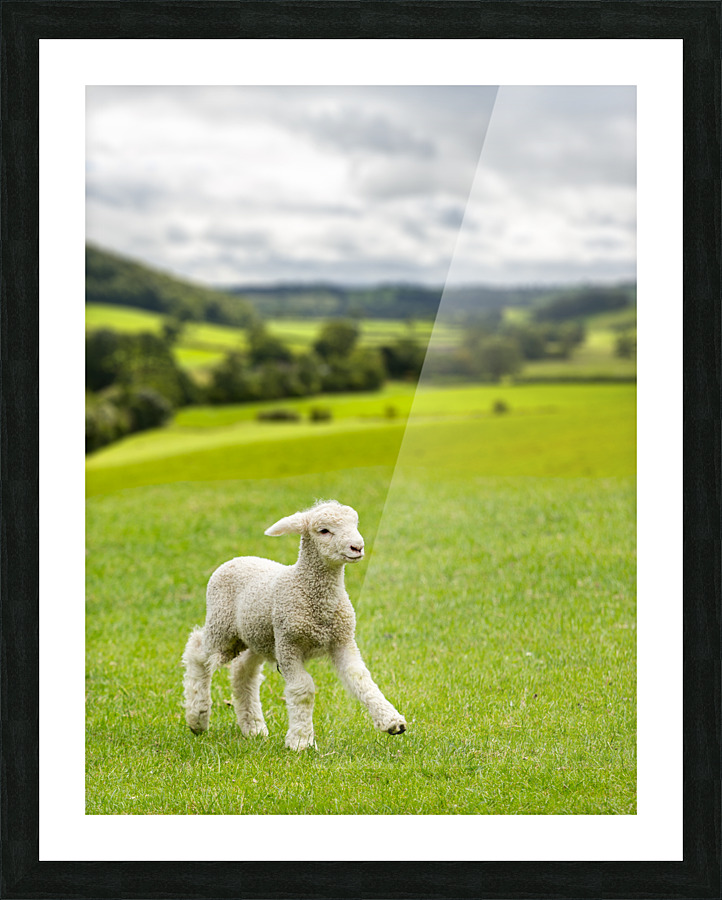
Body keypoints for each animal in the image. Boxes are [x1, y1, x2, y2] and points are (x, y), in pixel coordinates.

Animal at [182, 500, 406, 750]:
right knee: (197, 652)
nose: (357, 547)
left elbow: (361, 678)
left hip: (258, 637)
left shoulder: (342, 640)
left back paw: (253, 727)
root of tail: (236, 559)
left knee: (243, 672)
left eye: (354, 524)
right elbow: (303, 689)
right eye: (324, 530)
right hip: (222, 627)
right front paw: (300, 740)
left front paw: (392, 722)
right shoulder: (288, 645)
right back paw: (197, 717)